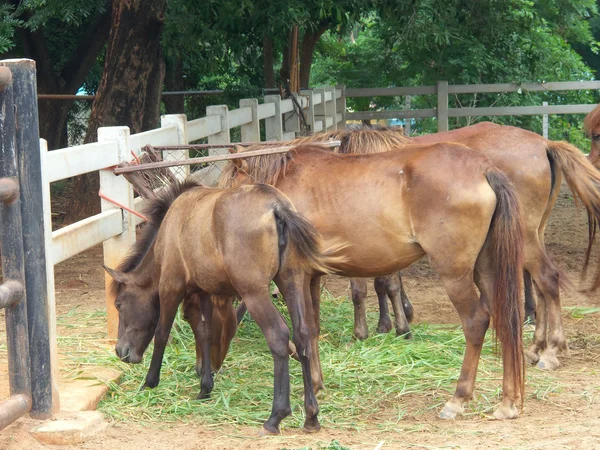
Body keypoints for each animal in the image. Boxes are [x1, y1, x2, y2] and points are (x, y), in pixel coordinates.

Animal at [101, 179, 340, 436]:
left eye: (119, 304)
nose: (121, 351)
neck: (172, 225)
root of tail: (277, 207)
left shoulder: (170, 287)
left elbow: (162, 333)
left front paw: (149, 382)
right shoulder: (205, 291)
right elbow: (205, 334)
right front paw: (205, 387)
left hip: (254, 292)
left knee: (278, 336)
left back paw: (275, 417)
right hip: (290, 281)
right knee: (303, 335)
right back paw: (311, 416)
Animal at [220, 144, 524, 422]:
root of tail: (484, 168)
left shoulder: (297, 276)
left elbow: (303, 330)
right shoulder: (312, 277)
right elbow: (313, 328)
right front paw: (317, 384)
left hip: (455, 274)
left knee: (476, 322)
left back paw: (458, 399)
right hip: (486, 270)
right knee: (505, 320)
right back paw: (508, 402)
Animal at [292, 123, 600, 370]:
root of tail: (544, 143)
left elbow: (369, 287)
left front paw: (374, 330)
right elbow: (385, 281)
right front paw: (390, 323)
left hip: (522, 237)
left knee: (546, 280)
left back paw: (550, 350)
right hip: (532, 234)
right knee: (541, 284)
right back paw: (537, 346)